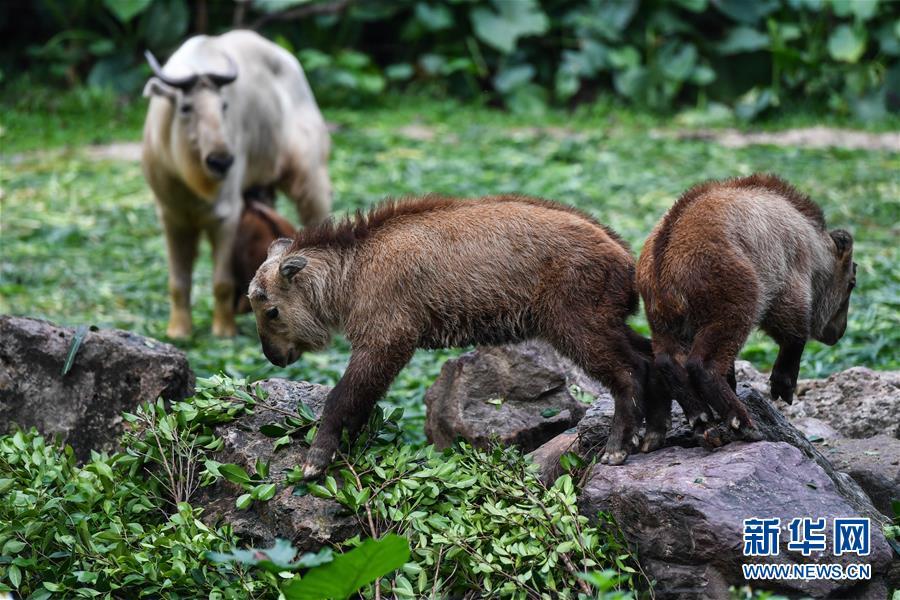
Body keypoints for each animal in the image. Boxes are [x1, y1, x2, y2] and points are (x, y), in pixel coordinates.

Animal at [250, 195, 652, 476]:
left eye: (271, 310)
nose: (273, 357)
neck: (355, 269)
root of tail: (627, 261)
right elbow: (361, 401)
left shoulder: (386, 340)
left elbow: (341, 397)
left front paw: (316, 458)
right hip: (605, 322)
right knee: (649, 359)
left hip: (574, 325)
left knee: (627, 372)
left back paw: (618, 445)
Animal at [636, 173, 856, 446]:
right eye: (852, 282)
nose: (838, 331)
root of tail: (664, 261)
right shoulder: (788, 281)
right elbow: (793, 331)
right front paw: (783, 386)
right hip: (733, 299)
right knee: (704, 363)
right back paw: (741, 422)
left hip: (662, 320)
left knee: (667, 360)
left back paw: (701, 419)